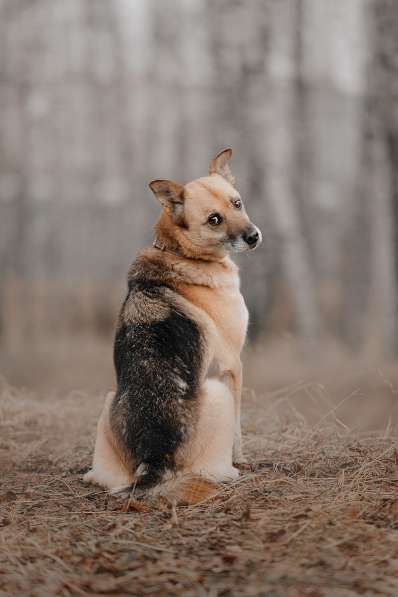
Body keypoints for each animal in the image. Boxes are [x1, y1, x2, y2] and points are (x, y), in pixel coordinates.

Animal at [84, 148, 262, 502]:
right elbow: (238, 429)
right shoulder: (232, 366)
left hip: (108, 401)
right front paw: (242, 458)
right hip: (218, 392)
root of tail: (155, 454)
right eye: (214, 219)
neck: (180, 251)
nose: (253, 237)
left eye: (236, 203)